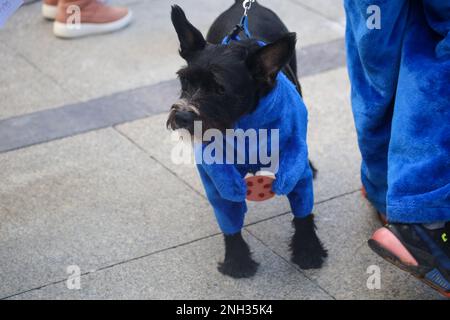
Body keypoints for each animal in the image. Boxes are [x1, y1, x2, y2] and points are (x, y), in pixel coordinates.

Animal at [167, 1, 326, 278]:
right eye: (184, 80)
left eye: (220, 89)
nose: (183, 115)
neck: (244, 126)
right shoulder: (219, 177)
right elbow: (229, 218)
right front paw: (237, 260)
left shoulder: (295, 170)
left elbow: (303, 214)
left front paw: (308, 250)